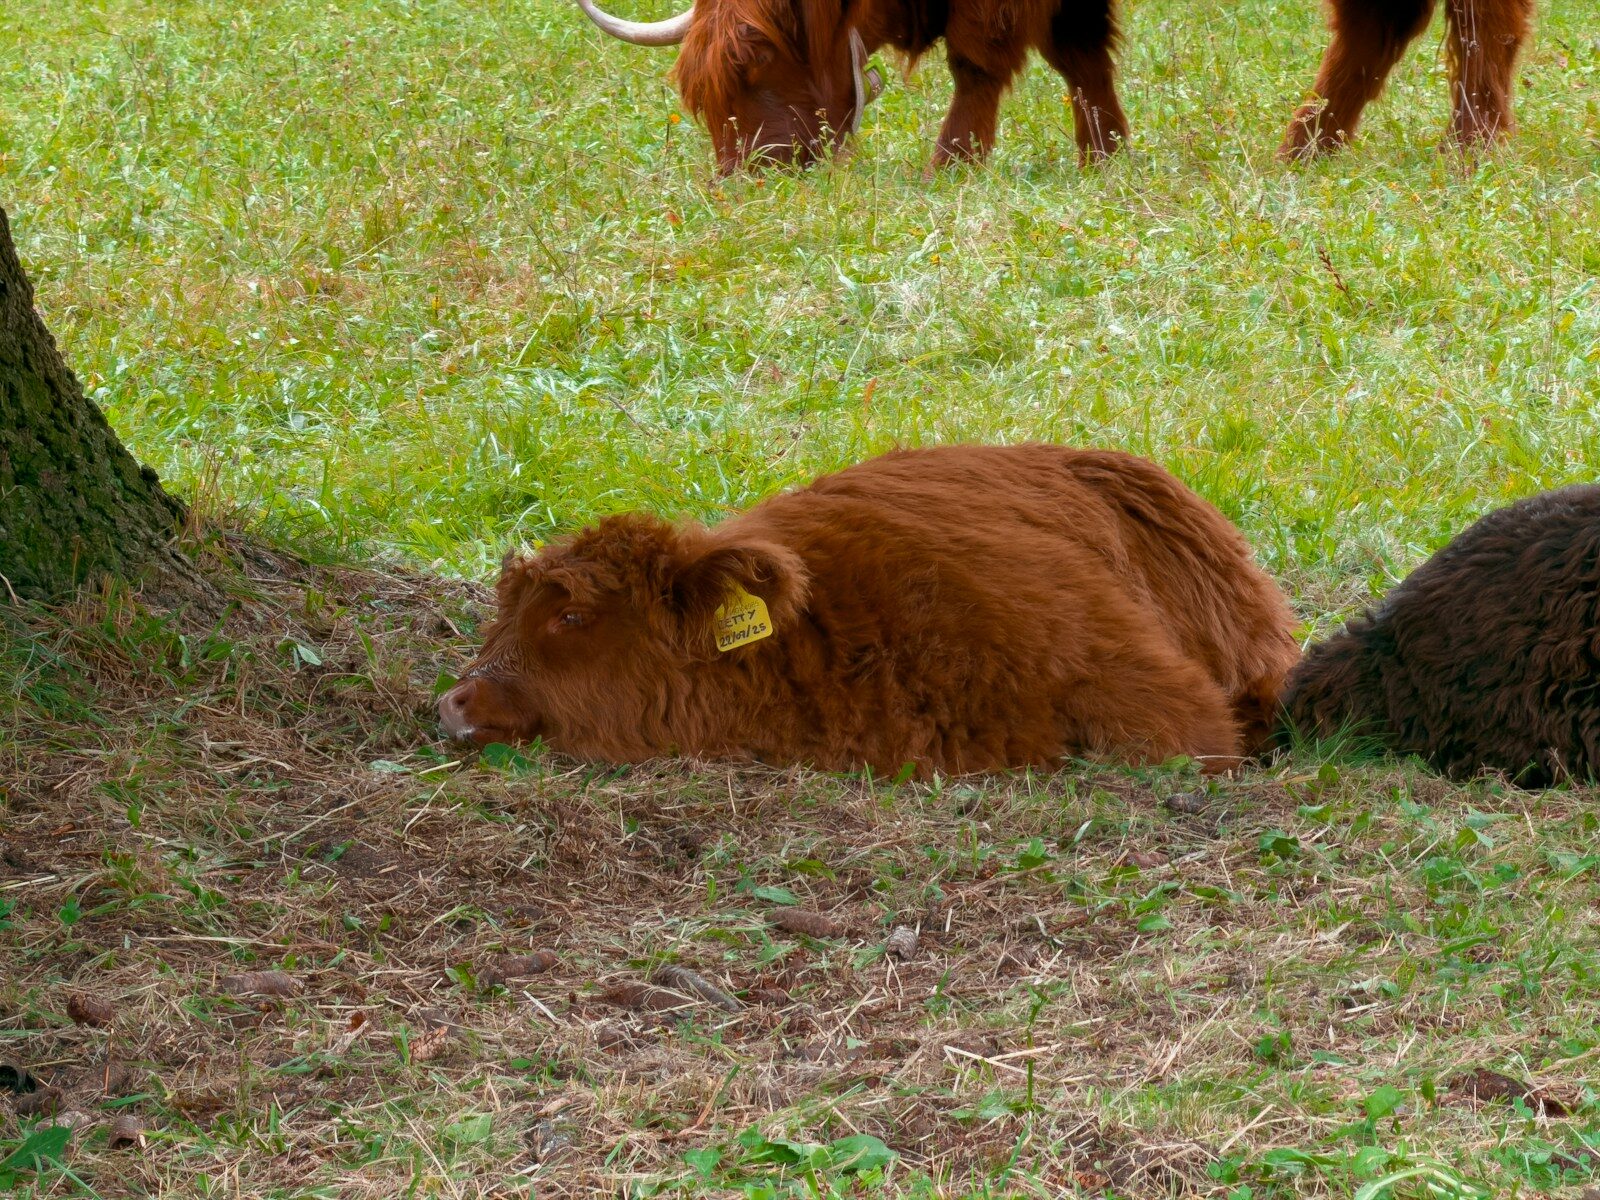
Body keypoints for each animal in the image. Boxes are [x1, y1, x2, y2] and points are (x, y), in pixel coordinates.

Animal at [572, 0, 1130, 172]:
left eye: (756, 61)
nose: (741, 174)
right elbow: (1083, 62)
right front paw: (1106, 156)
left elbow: (973, 66)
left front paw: (951, 163)